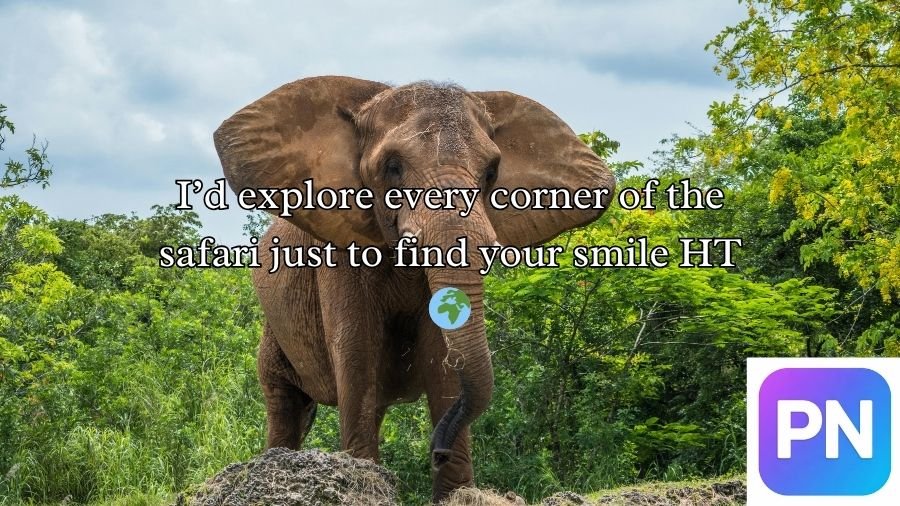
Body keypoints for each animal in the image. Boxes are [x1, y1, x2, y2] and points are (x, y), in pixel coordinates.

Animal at [213, 76, 614, 502]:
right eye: (393, 167)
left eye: (491, 173)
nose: (437, 451)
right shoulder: (341, 253)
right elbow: (357, 353)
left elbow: (442, 357)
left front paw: (455, 494)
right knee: (285, 402)